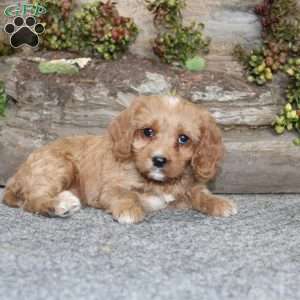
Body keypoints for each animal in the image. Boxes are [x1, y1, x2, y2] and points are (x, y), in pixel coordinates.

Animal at [2, 95, 237, 223]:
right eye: (148, 132)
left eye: (183, 139)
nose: (159, 160)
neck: (157, 183)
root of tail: (16, 176)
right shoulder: (110, 188)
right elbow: (127, 194)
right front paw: (129, 211)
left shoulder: (188, 186)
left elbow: (200, 193)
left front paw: (219, 202)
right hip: (59, 166)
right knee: (32, 200)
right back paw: (59, 204)